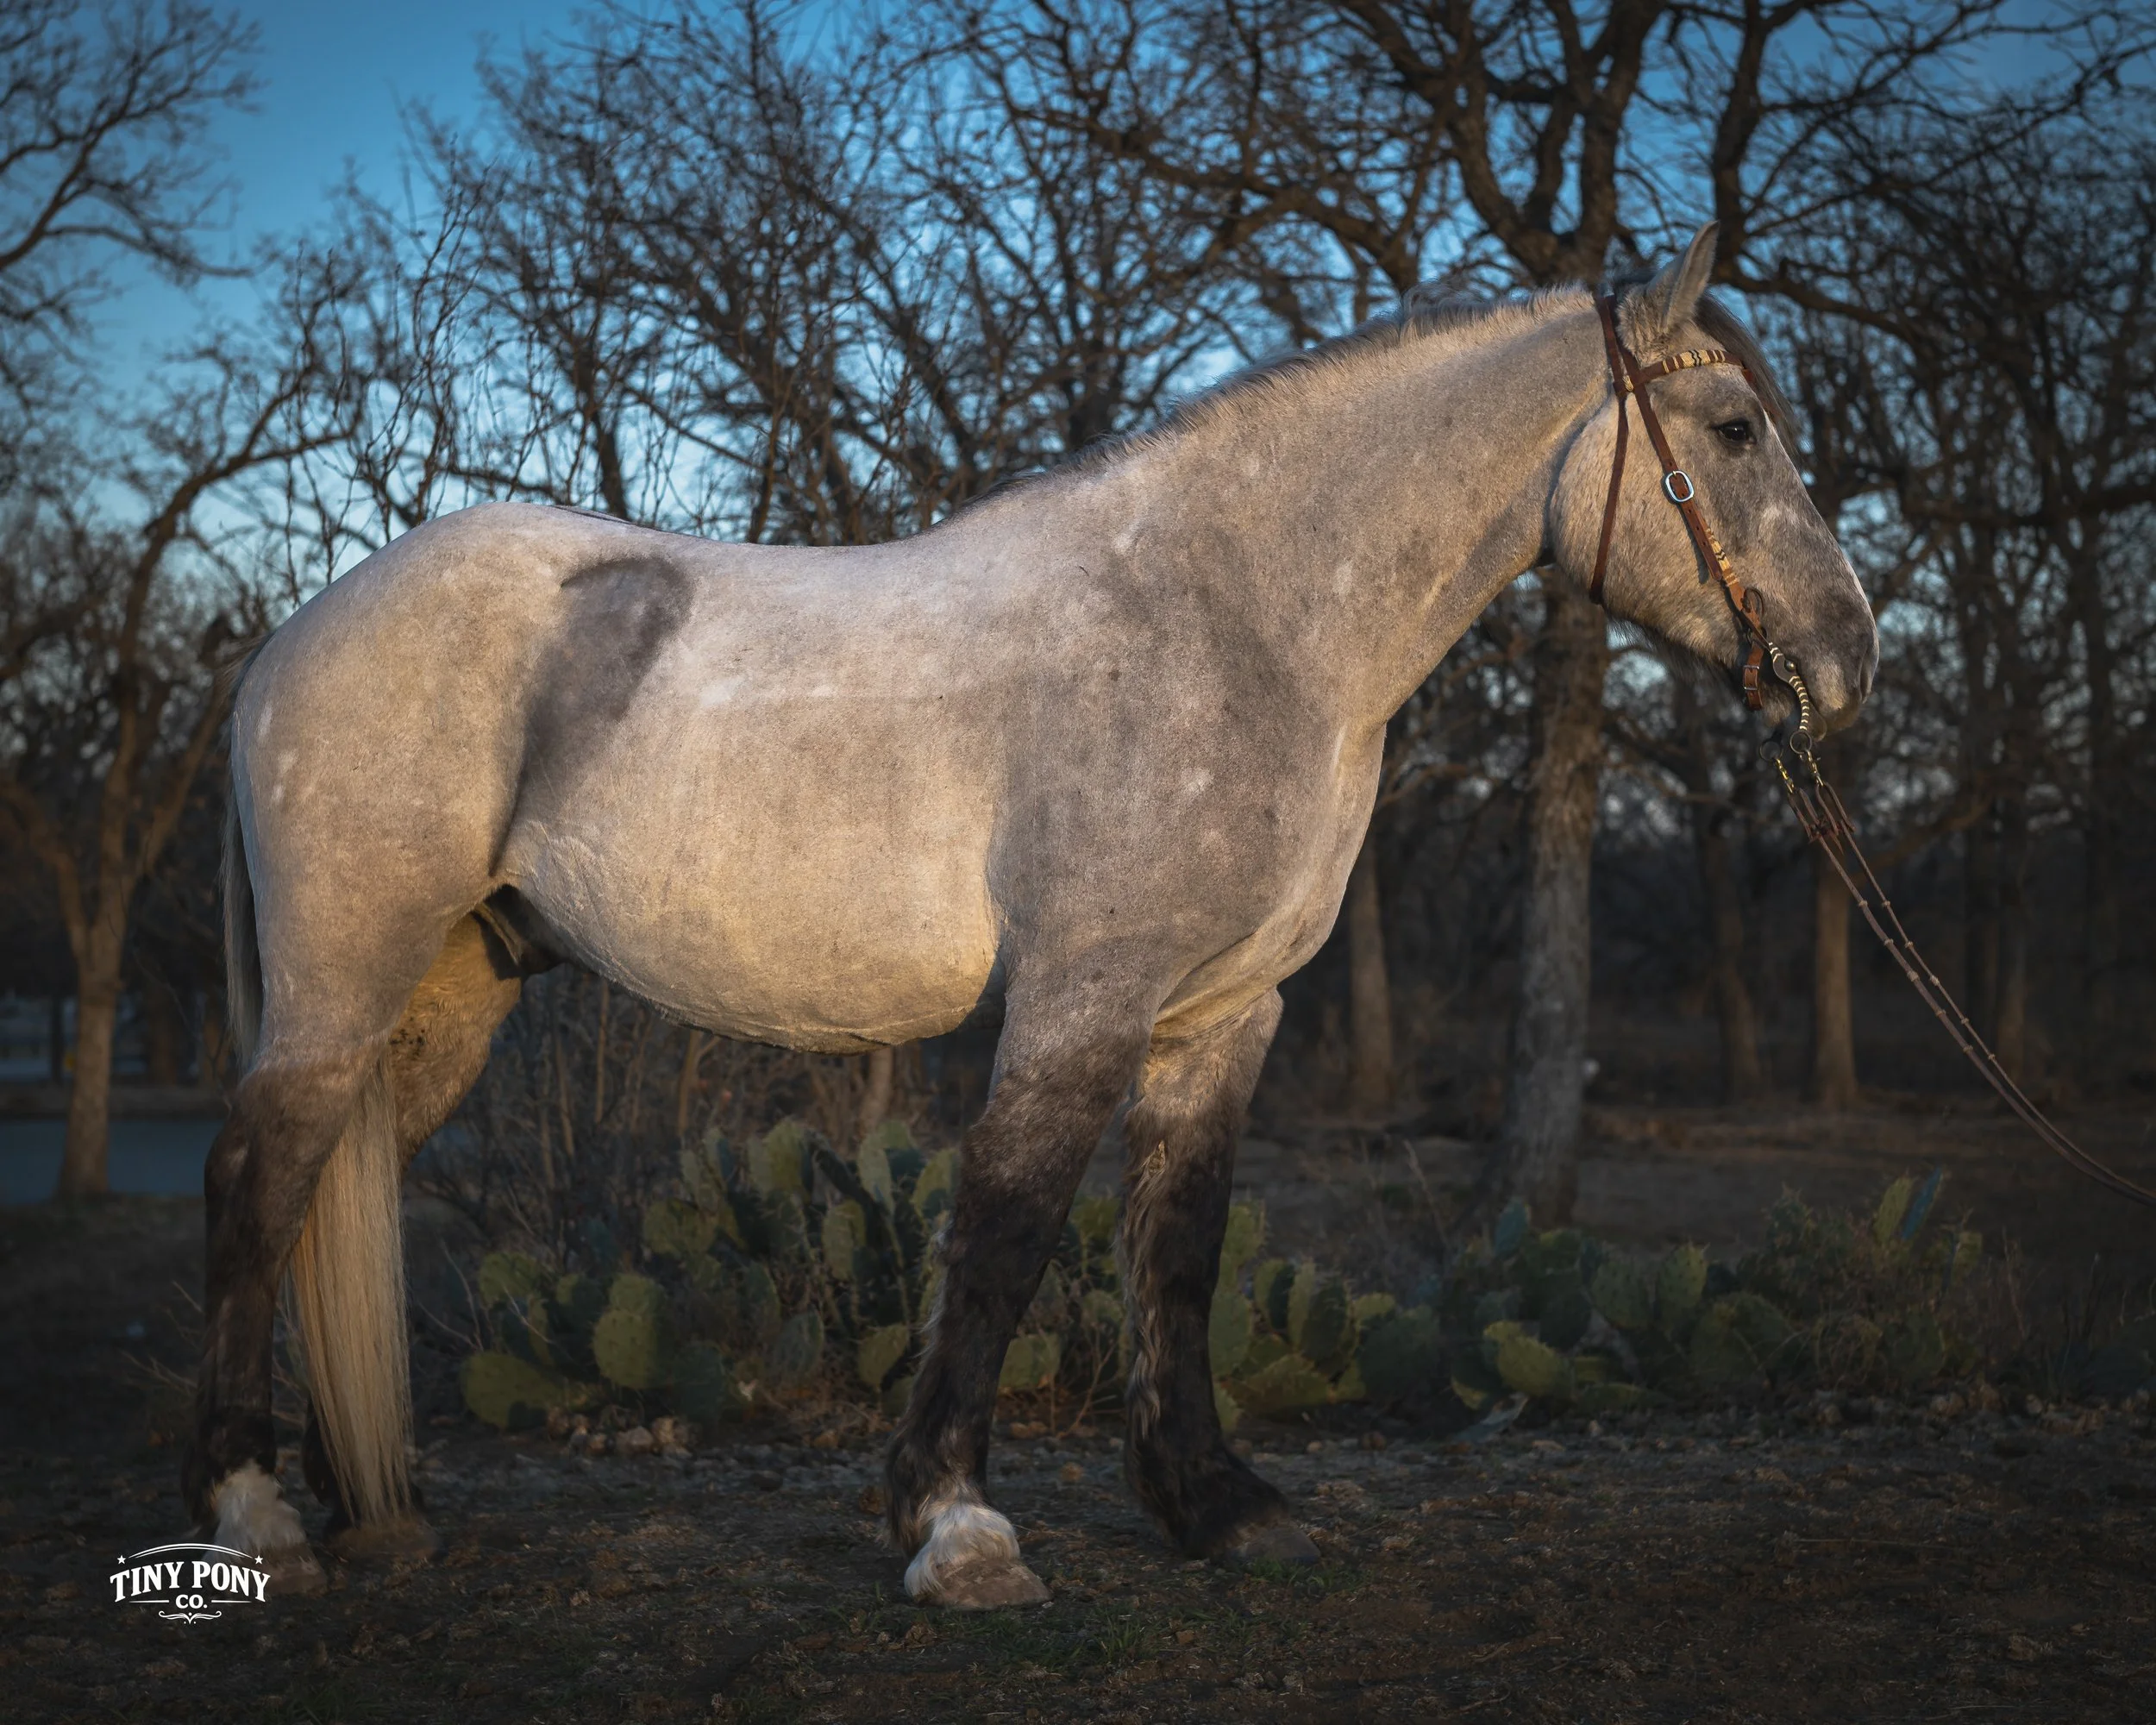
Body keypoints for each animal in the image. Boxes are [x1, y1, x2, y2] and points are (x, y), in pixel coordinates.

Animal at [190, 223, 1877, 1608]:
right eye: (1735, 430)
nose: (1849, 657)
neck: (1237, 619)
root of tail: (290, 638)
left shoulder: (1221, 1016)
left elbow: (1178, 1251)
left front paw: (1216, 1508)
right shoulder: (1084, 998)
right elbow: (1001, 1235)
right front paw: (957, 1531)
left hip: (446, 1000)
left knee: (334, 1187)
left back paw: (377, 1517)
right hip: (344, 985)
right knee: (256, 1184)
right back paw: (255, 1516)